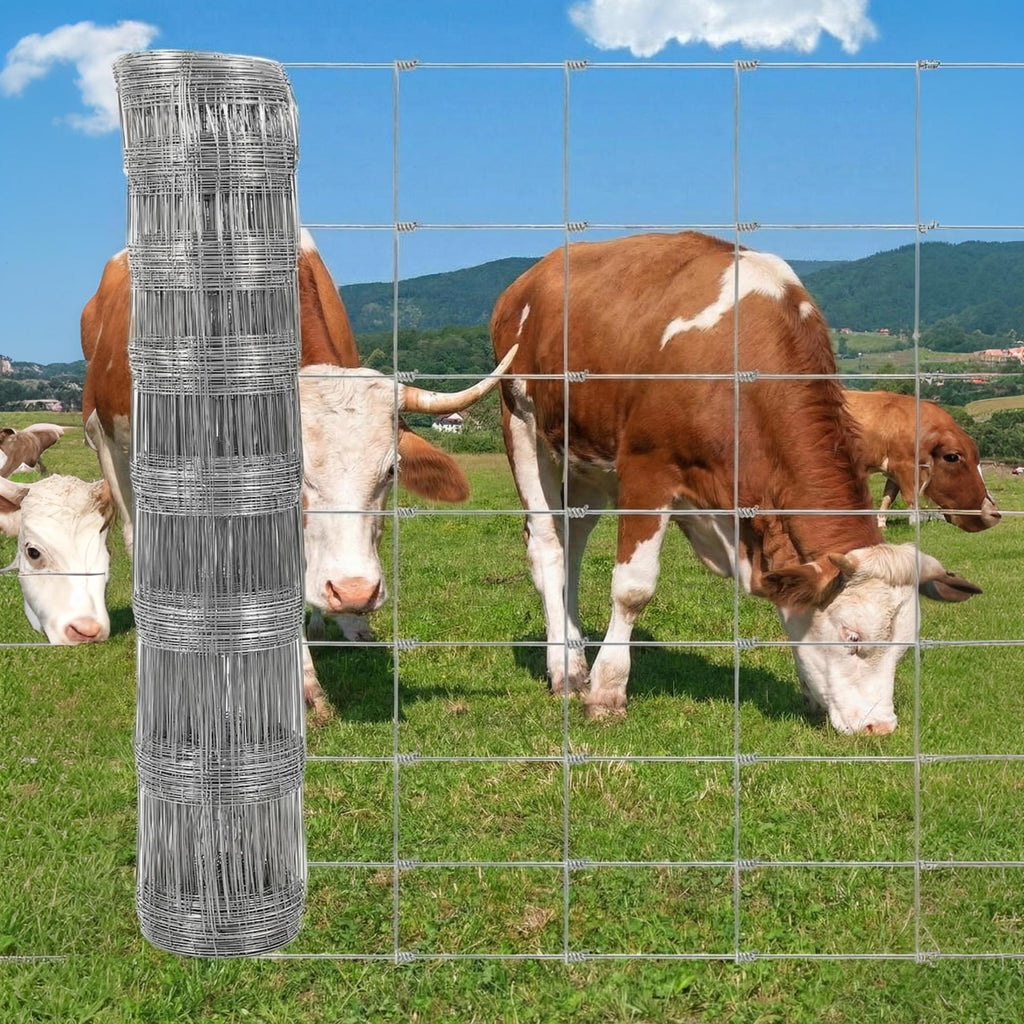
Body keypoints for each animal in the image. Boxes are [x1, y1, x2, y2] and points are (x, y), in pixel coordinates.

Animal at [491, 231, 980, 735]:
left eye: (904, 649)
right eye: (852, 637)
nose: (879, 727)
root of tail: (530, 278)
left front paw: (810, 692)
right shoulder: (646, 469)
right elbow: (632, 589)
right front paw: (607, 692)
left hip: (582, 455)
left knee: (573, 543)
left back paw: (573, 653)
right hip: (521, 421)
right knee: (547, 547)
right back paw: (567, 672)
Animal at [842, 390, 1000, 531]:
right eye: (952, 457)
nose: (992, 513)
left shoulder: (892, 472)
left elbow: (888, 498)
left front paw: (881, 524)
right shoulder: (904, 466)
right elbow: (911, 497)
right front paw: (915, 523)